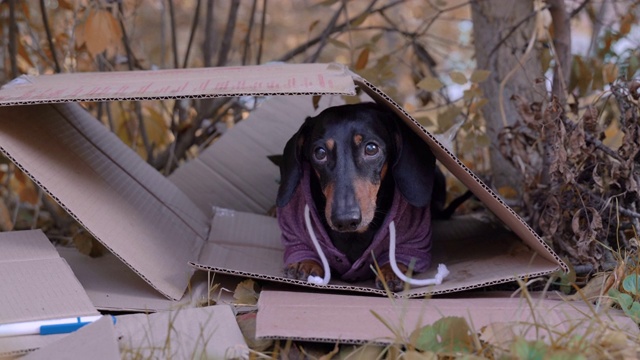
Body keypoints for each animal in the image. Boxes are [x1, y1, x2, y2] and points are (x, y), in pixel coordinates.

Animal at [278, 102, 442, 292]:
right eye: (319, 153)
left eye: (371, 148)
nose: (345, 220)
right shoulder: (294, 229)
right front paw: (306, 263)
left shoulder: (415, 238)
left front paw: (390, 270)